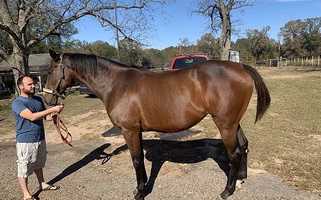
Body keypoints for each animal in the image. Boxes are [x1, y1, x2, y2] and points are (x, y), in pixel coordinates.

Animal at [42, 49, 268, 198]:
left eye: (51, 71)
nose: (47, 99)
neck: (117, 84)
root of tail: (241, 67)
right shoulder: (137, 131)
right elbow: (140, 159)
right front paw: (141, 188)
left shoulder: (129, 130)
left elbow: (136, 160)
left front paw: (140, 192)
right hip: (233, 123)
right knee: (244, 145)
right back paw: (241, 178)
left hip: (225, 125)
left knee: (234, 153)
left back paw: (227, 190)